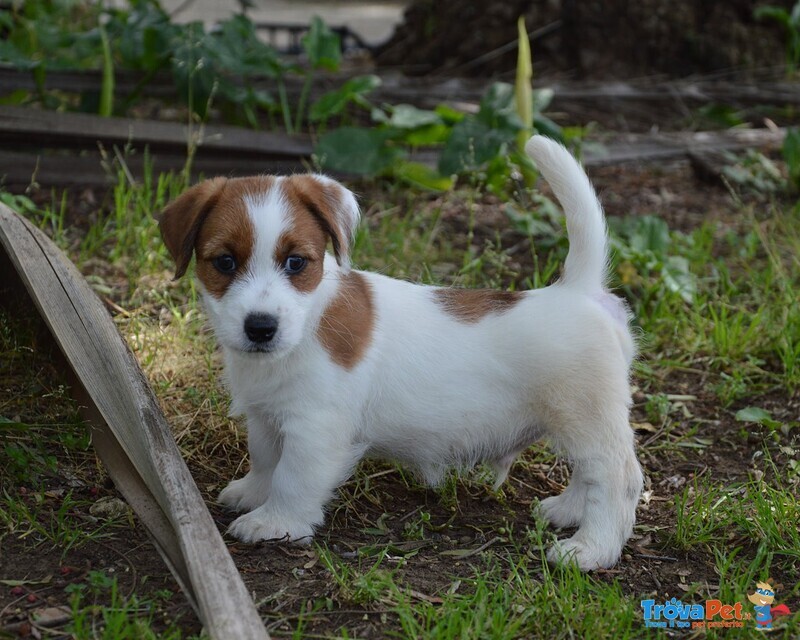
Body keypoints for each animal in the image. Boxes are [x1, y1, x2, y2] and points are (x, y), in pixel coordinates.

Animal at [161, 135, 644, 568]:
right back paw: (567, 510)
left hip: (585, 417)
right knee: (588, 473)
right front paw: (251, 494)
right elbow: (265, 461)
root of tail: (579, 290)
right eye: (224, 262)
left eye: (296, 263)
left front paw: (275, 522)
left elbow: (292, 478)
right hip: (581, 423)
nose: (260, 327)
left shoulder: (315, 428)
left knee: (617, 477)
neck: (311, 318)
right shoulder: (266, 416)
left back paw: (591, 549)